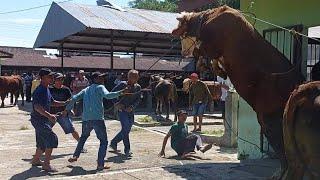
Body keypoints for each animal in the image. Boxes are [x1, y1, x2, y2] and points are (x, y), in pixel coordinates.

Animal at [172, 5, 310, 179]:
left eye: (182, 33)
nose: (182, 53)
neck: (207, 20)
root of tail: (299, 83)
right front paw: (219, 69)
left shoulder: (210, 46)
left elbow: (202, 53)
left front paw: (213, 67)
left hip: (270, 120)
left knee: (283, 150)